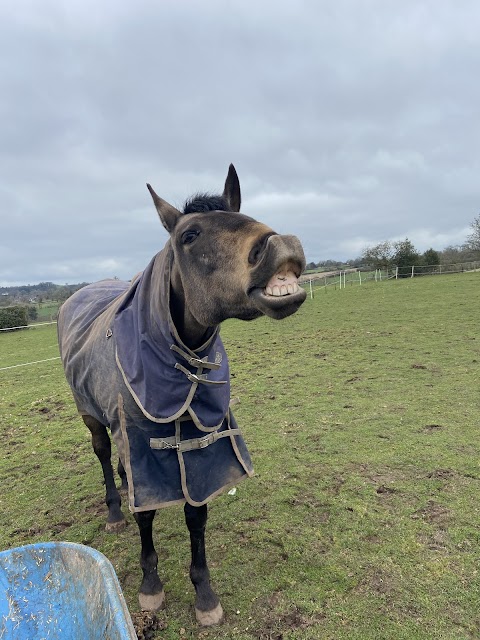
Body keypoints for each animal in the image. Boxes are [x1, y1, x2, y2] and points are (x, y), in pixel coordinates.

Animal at [57, 165, 308, 624]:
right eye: (189, 235)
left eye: (242, 214)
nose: (281, 248)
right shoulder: (140, 444)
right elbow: (147, 513)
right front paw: (151, 586)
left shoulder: (197, 443)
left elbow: (195, 512)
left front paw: (204, 594)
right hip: (90, 413)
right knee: (103, 453)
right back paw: (115, 509)